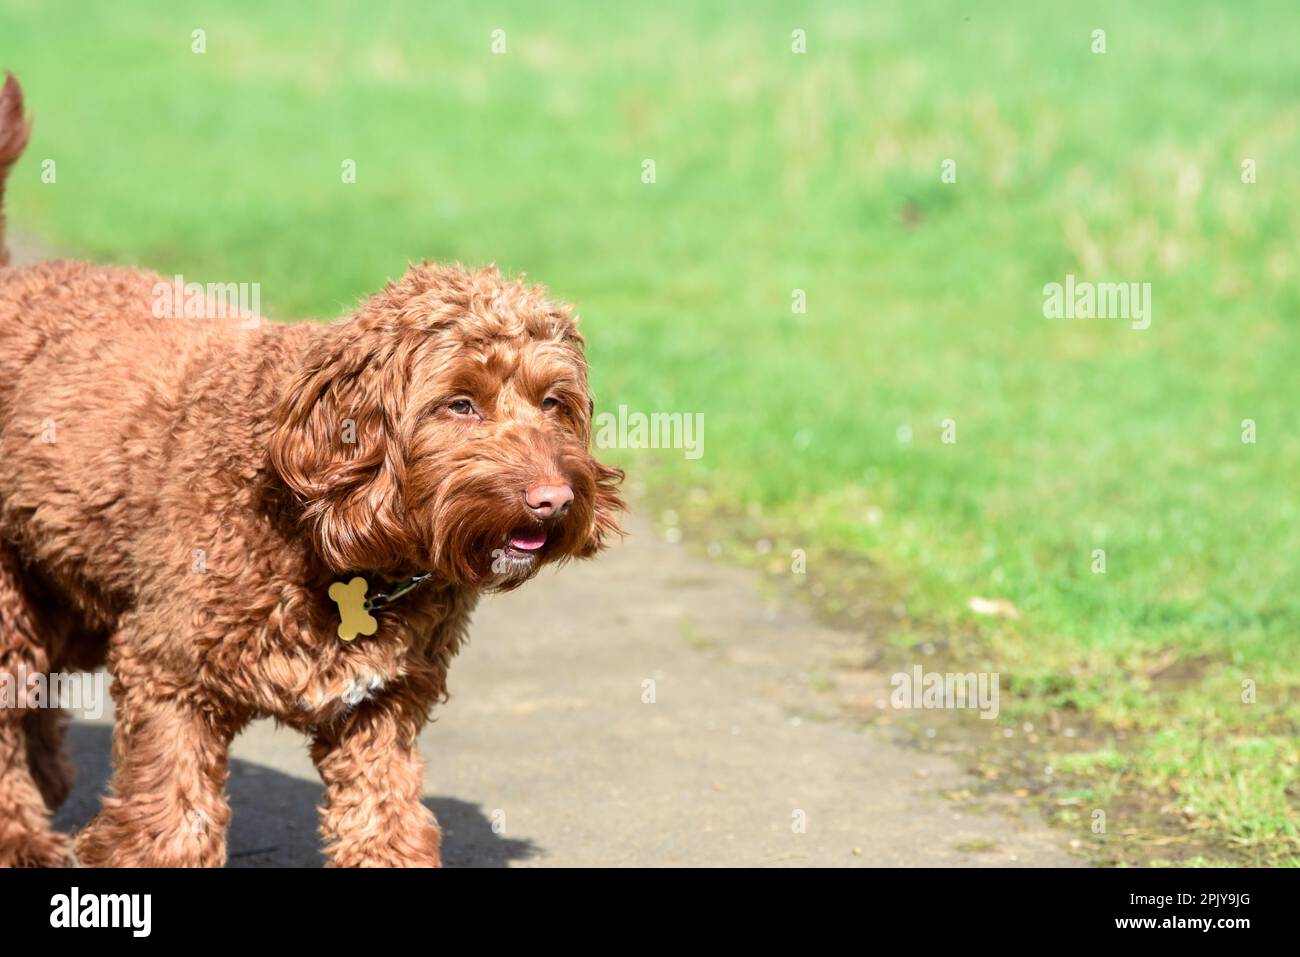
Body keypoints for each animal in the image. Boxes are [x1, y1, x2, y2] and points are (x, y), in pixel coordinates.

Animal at [0, 74, 624, 868]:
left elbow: (384, 822)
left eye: (554, 402)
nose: (553, 500)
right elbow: (172, 823)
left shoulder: (382, 707)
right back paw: (22, 833)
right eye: (459, 403)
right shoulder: (170, 674)